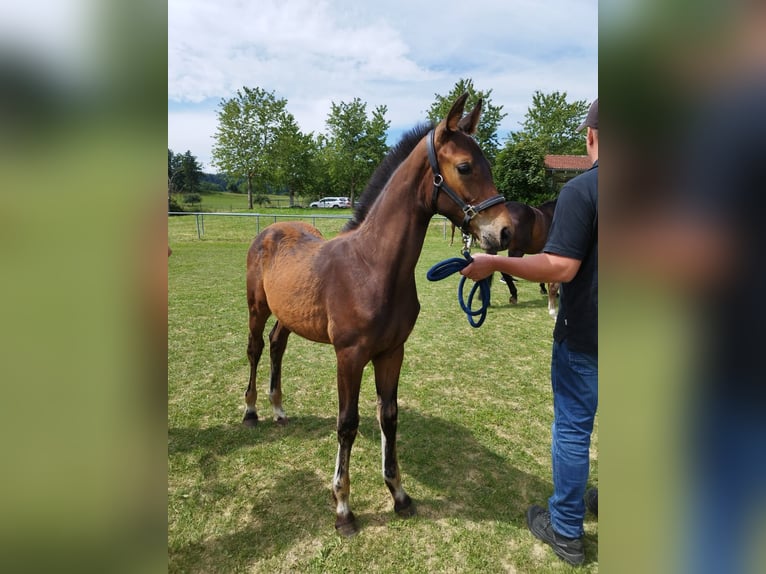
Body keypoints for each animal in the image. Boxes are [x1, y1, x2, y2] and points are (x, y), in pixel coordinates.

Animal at [242, 94, 513, 536]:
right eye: (465, 166)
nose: (504, 232)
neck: (371, 266)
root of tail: (271, 230)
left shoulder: (392, 352)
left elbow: (389, 415)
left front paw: (399, 495)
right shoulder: (349, 356)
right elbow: (347, 423)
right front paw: (343, 509)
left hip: (289, 315)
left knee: (277, 345)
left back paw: (279, 410)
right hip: (257, 307)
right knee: (254, 349)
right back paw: (251, 412)